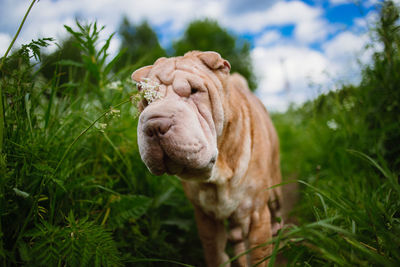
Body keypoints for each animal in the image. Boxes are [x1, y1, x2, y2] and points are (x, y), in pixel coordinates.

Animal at [131, 51, 282, 266]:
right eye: (146, 100)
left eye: (194, 91)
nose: (155, 125)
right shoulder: (206, 219)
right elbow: (216, 255)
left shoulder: (256, 216)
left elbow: (260, 257)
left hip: (275, 191)